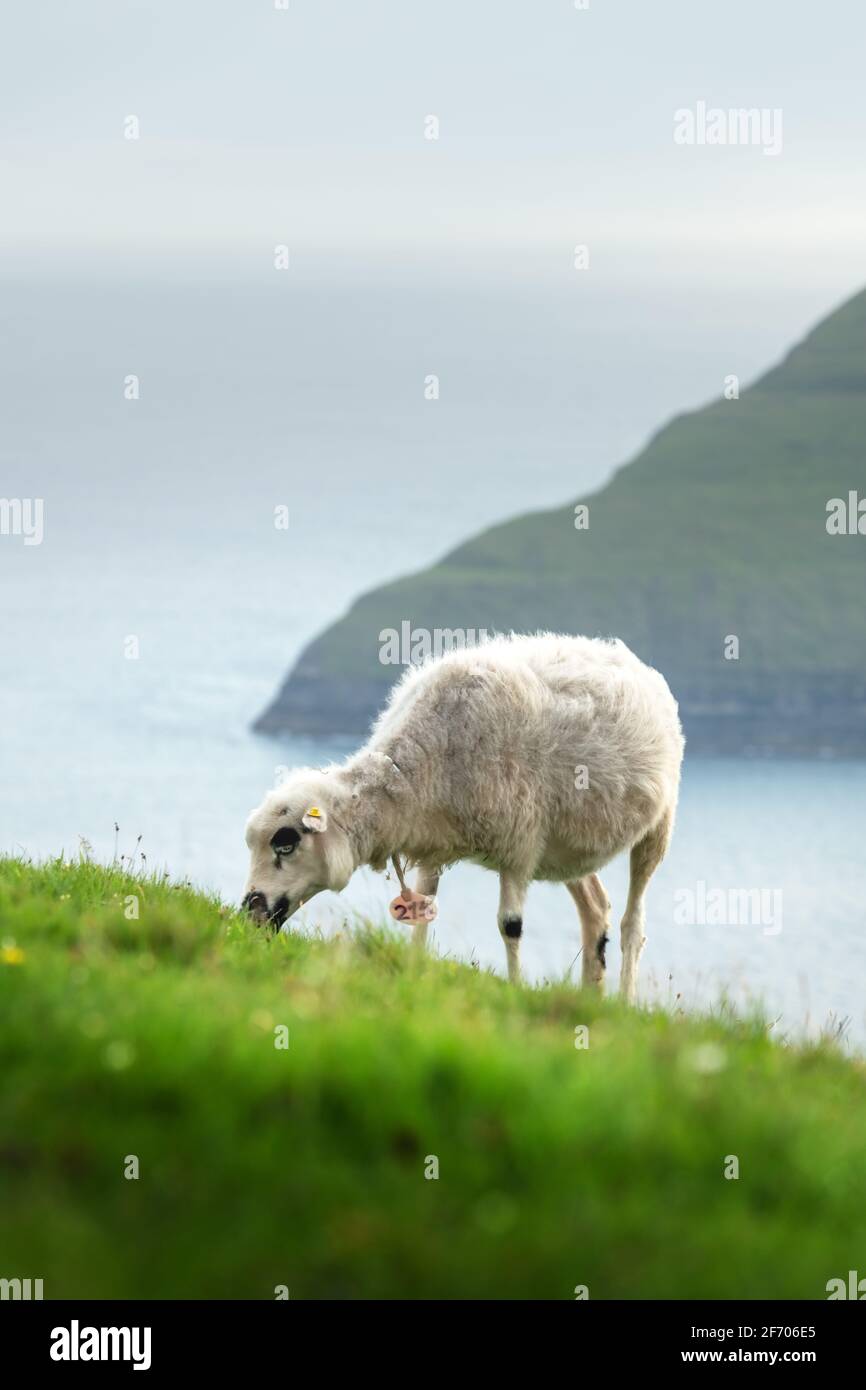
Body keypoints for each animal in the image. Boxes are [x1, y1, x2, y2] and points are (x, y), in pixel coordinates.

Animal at [241, 631, 683, 1000]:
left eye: (285, 842)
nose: (250, 912)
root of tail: (630, 659)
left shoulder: (520, 846)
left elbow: (511, 926)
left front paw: (515, 991)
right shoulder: (433, 841)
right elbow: (422, 914)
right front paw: (414, 972)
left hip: (658, 826)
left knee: (632, 925)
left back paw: (623, 1003)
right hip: (567, 846)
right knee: (595, 908)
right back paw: (590, 1000)